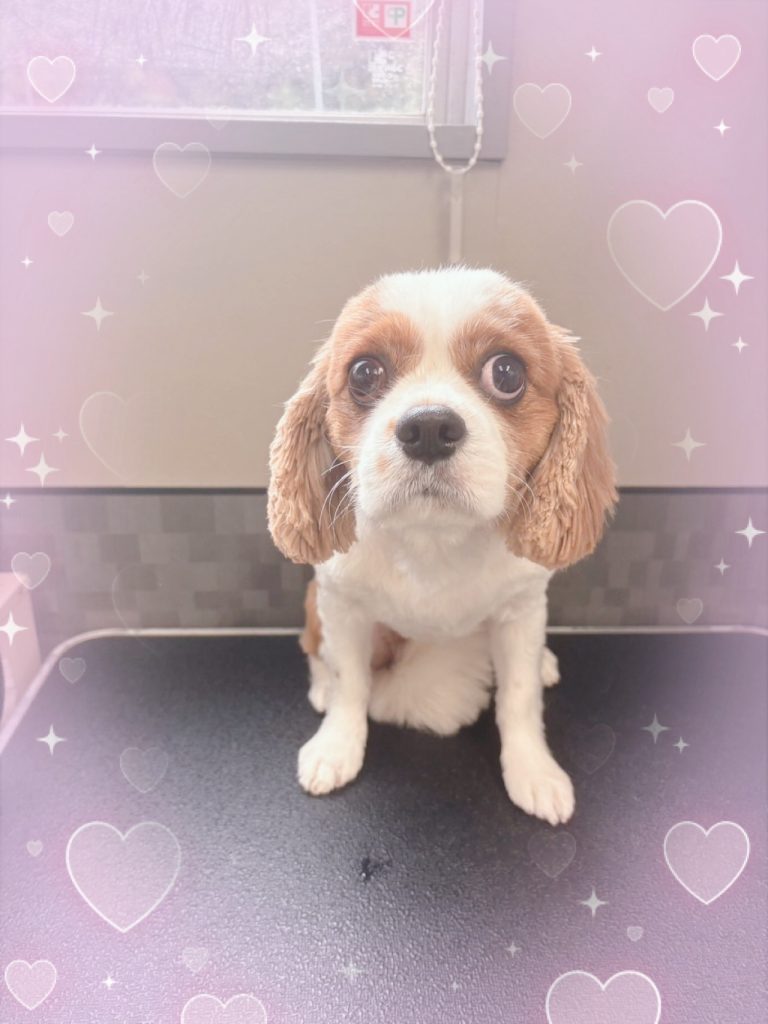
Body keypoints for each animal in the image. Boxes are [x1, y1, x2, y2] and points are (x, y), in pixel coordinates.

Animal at [267, 267, 616, 824]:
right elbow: (350, 682)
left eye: (507, 372)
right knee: (314, 649)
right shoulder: (342, 604)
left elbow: (518, 698)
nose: (428, 426)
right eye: (364, 373)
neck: (434, 537)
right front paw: (337, 746)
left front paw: (533, 769)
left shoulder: (521, 609)